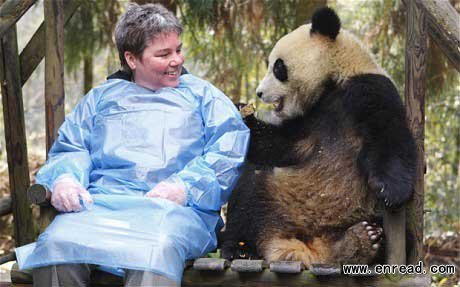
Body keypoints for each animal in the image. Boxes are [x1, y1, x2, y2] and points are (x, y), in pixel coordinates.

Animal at [221, 6, 418, 268]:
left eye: (278, 67)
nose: (259, 93)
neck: (334, 81)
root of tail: (307, 250)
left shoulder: (369, 89)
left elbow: (389, 135)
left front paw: (390, 190)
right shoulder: (310, 119)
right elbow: (281, 146)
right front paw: (241, 113)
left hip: (361, 214)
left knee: (402, 236)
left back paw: (360, 243)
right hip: (277, 193)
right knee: (249, 190)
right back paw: (241, 249)